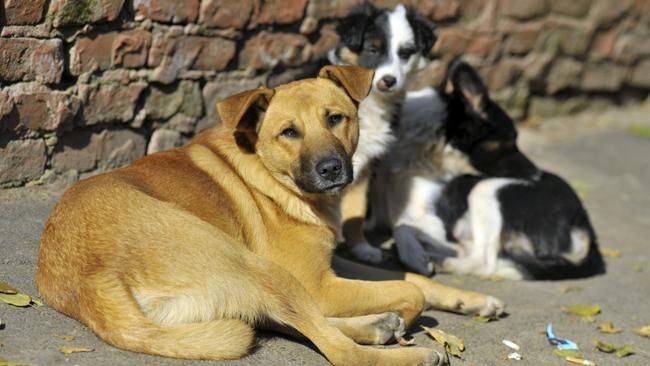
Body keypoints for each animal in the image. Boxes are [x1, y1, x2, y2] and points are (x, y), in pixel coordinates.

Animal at [36, 66, 496, 366]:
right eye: (289, 132)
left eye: (336, 118)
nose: (332, 169)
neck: (271, 175)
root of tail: (89, 282)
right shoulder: (319, 284)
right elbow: (411, 291)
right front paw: (416, 314)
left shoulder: (329, 265)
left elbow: (415, 279)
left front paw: (470, 299)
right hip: (260, 268)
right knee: (336, 349)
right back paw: (407, 350)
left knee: (284, 322)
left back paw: (377, 326)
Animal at [326, 4, 438, 264]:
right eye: (372, 50)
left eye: (405, 53)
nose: (389, 81)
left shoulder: (365, 167)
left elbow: (356, 209)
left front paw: (361, 248)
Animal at [368, 61, 604, 278]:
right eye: (510, 142)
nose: (537, 175)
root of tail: (587, 229)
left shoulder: (438, 222)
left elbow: (402, 226)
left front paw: (415, 257)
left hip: (486, 190)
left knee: (483, 261)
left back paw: (441, 260)